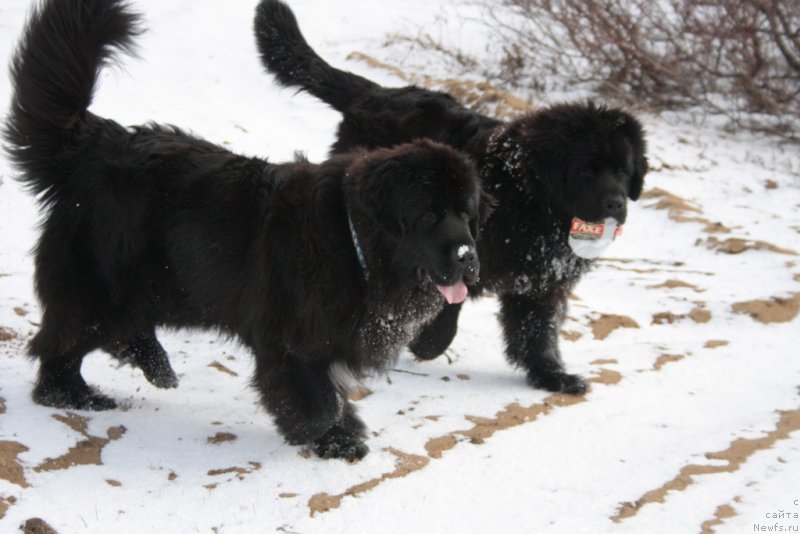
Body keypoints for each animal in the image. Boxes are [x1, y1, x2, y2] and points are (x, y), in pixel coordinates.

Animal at [6, 0, 484, 460]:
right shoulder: (289, 338)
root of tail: (92, 144)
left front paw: (338, 434)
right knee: (61, 343)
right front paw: (330, 437)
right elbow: (317, 397)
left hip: (166, 284)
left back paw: (154, 365)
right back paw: (74, 394)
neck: (353, 245)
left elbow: (329, 390)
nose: (468, 256)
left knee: (114, 330)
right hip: (100, 285)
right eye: (428, 215)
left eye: (466, 213)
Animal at [256, 0, 648, 394]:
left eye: (623, 170)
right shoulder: (456, 248)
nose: (616, 203)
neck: (531, 202)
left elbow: (537, 331)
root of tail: (375, 93)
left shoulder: (540, 281)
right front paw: (428, 342)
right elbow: (447, 301)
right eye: (586, 170)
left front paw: (551, 373)